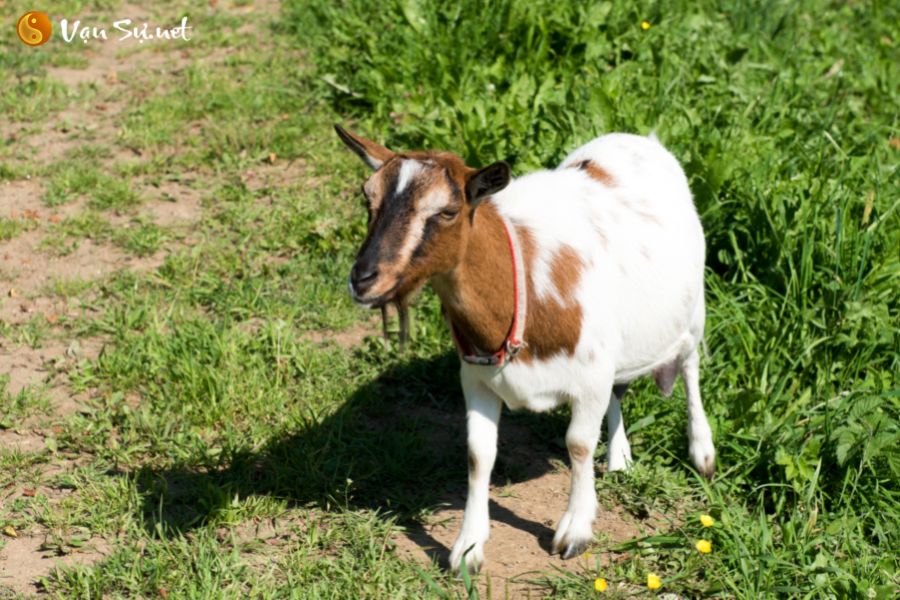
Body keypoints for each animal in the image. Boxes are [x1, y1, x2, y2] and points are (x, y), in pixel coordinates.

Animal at [334, 125, 712, 572]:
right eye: (367, 198)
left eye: (447, 211)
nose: (363, 279)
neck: (525, 285)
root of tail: (638, 139)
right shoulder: (476, 377)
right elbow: (479, 454)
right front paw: (467, 547)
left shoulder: (590, 377)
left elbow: (578, 444)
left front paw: (575, 531)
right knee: (621, 390)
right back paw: (619, 459)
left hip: (694, 311)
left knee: (690, 368)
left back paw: (703, 454)